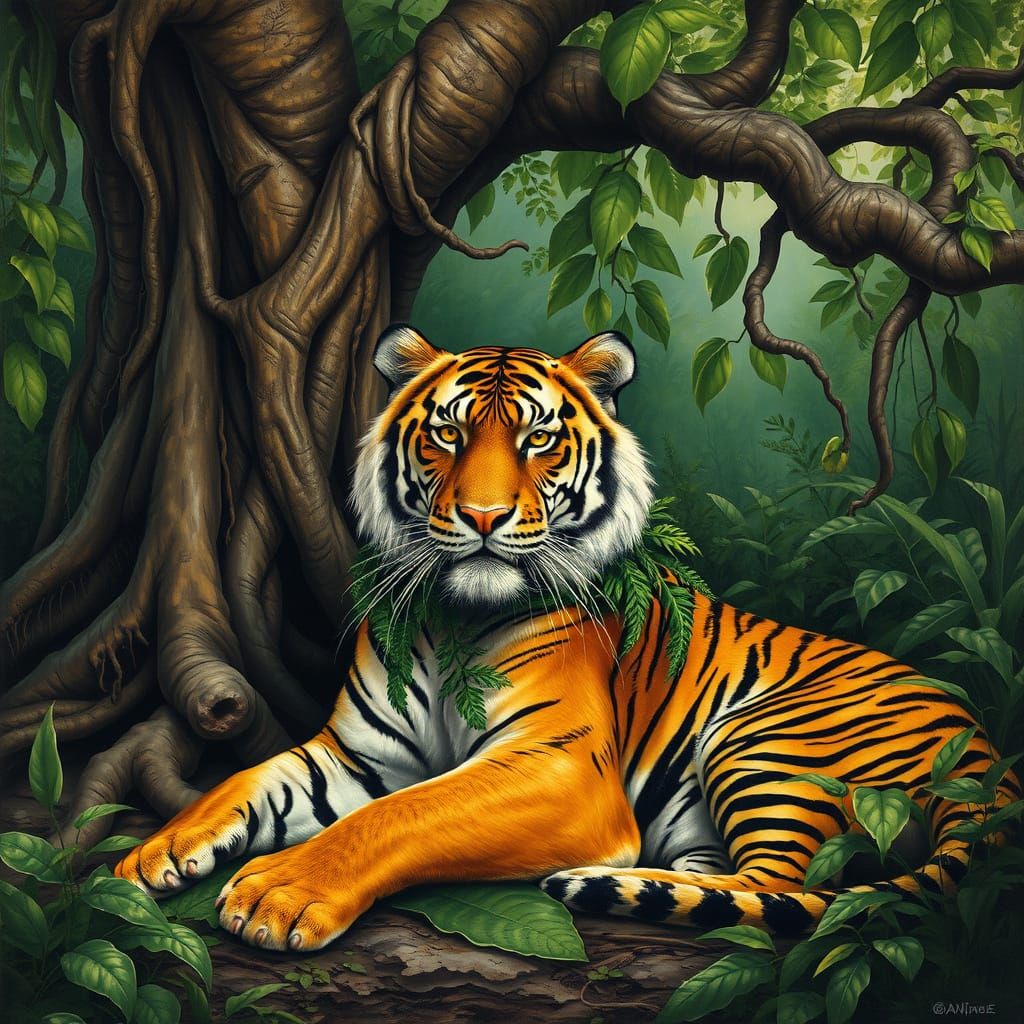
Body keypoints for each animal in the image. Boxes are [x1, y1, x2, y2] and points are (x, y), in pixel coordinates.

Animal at [116, 324, 1018, 952]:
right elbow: (250, 779)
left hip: (766, 741)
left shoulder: (559, 767)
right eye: (448, 434)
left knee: (778, 889)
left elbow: (404, 815)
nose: (483, 517)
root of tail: (985, 750)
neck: (450, 625)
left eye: (538, 439)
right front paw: (157, 852)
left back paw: (601, 878)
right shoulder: (359, 754)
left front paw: (277, 894)